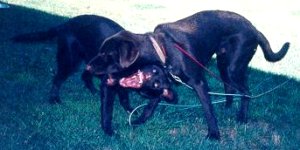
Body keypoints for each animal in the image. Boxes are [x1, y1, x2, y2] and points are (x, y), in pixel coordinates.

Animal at [86, 10, 288, 139]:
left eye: (107, 54)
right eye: (100, 51)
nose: (87, 66)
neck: (162, 50)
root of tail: (255, 29)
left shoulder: (199, 83)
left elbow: (208, 110)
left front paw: (214, 134)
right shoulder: (161, 82)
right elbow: (150, 106)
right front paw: (138, 121)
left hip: (233, 67)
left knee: (246, 91)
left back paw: (242, 118)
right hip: (224, 64)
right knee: (230, 86)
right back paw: (228, 106)